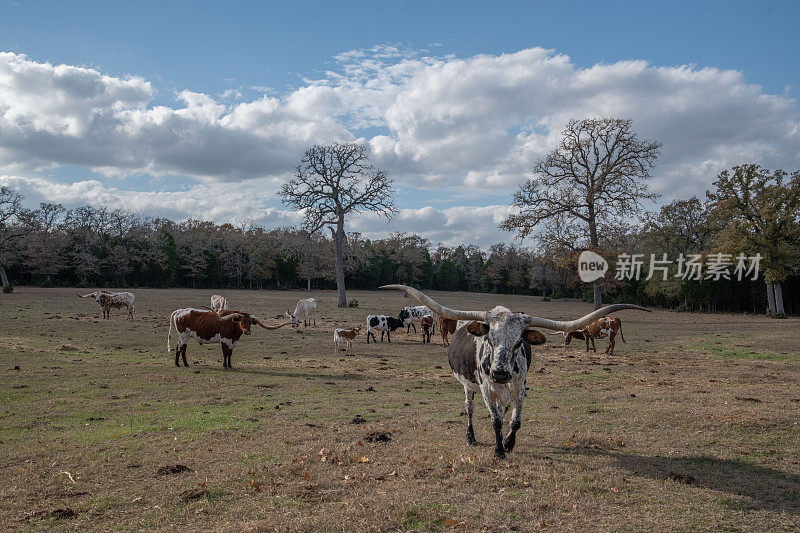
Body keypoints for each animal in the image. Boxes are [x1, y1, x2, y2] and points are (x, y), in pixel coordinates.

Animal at [382, 284, 648, 460]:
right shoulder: (486, 388)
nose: (499, 374)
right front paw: (499, 450)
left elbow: (515, 420)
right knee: (469, 409)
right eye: (489, 339)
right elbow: (496, 420)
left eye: (519, 342)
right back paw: (471, 436)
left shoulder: (520, 386)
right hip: (468, 386)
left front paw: (509, 443)